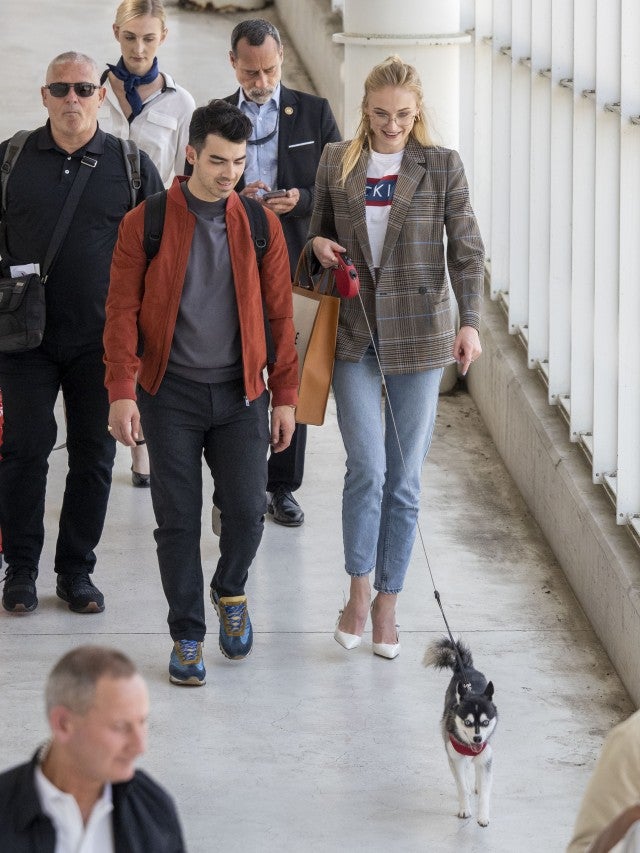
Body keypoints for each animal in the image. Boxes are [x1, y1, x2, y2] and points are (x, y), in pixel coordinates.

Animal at [424, 640, 500, 824]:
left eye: (485, 722)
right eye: (467, 722)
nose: (478, 738)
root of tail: (465, 668)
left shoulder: (486, 757)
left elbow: (485, 791)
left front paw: (483, 816)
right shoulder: (455, 757)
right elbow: (461, 786)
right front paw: (465, 808)